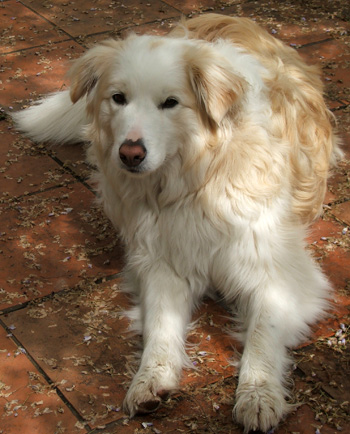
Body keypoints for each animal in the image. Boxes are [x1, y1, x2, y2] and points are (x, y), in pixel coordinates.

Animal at [13, 14, 342, 434]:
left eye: (170, 103)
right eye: (118, 98)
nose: (130, 154)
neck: (195, 178)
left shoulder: (276, 273)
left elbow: (261, 336)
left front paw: (258, 394)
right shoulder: (162, 262)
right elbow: (160, 326)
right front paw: (152, 378)